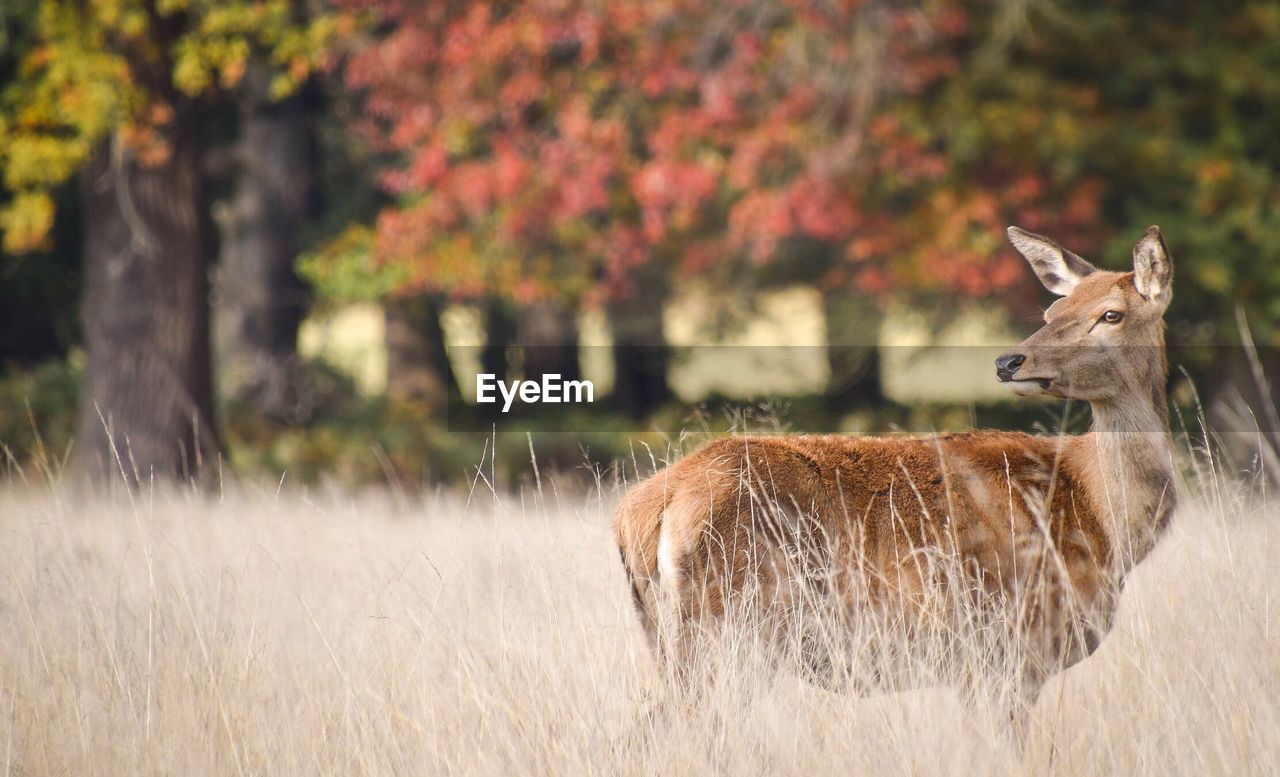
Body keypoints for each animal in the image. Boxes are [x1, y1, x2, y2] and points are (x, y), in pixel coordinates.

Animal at [614, 224, 1172, 737]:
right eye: (1052, 313)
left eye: (1111, 314)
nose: (1008, 361)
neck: (1101, 521)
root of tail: (645, 509)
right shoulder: (1010, 648)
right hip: (728, 634)